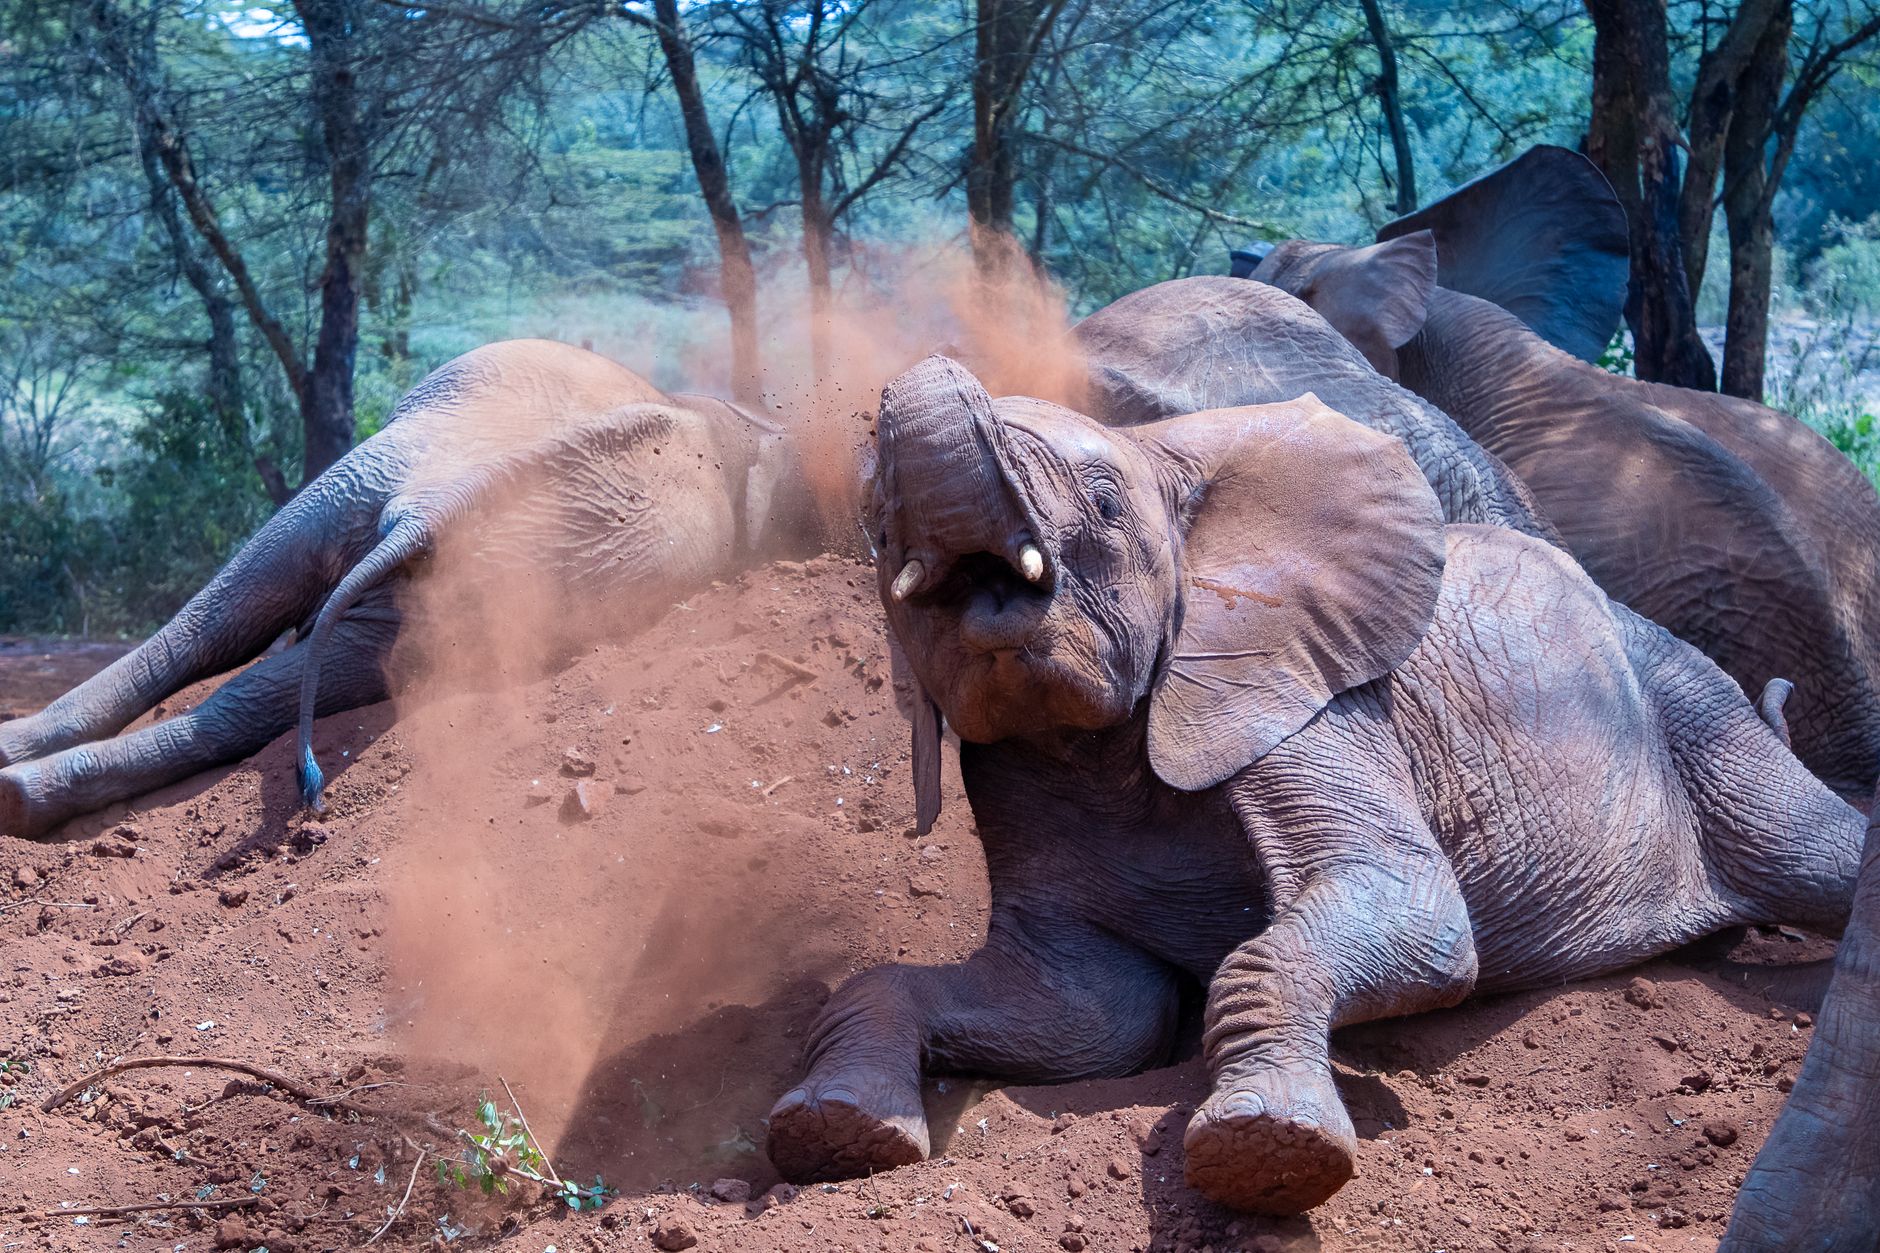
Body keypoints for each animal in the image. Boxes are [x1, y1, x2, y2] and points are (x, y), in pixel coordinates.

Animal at [0, 338, 815, 840]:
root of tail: (435, 506)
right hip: (410, 480)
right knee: (228, 622)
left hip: (450, 546)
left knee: (230, 643)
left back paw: (17, 782)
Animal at [762, 355, 1866, 1218]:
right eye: (877, 532)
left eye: (1104, 505)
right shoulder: (1021, 773)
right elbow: (1090, 1006)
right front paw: (834, 1133)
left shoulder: (1310, 700)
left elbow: (1418, 920)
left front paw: (1264, 1155)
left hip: (1693, 704)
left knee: (1811, 852)